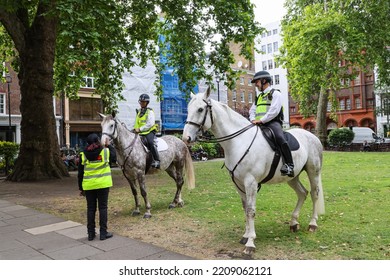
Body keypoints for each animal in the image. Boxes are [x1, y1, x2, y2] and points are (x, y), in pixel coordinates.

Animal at [181, 88, 324, 255]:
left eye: (200, 109)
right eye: (188, 109)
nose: (186, 137)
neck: (239, 141)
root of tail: (312, 136)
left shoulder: (251, 182)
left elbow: (251, 210)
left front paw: (250, 242)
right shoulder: (238, 183)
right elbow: (245, 208)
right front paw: (246, 235)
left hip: (313, 172)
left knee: (314, 194)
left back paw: (313, 224)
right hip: (292, 177)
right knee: (302, 193)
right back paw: (294, 222)